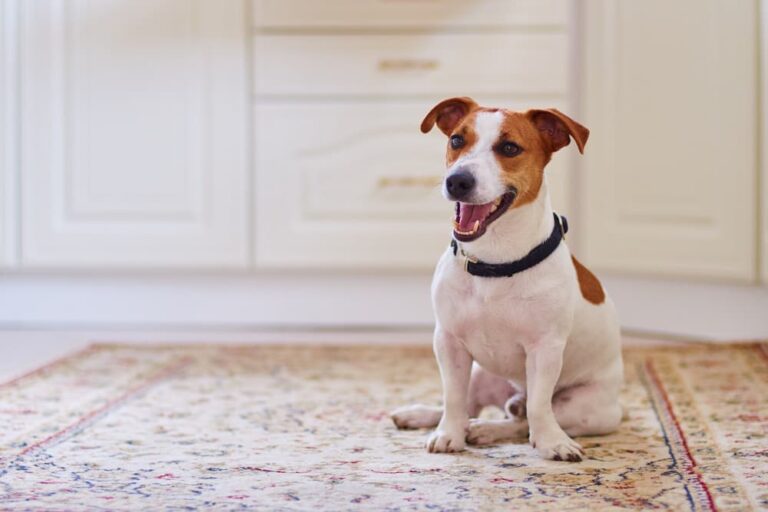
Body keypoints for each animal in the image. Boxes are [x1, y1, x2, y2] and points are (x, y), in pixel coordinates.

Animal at [390, 98, 624, 462]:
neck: (494, 262)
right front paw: (447, 435)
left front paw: (552, 443)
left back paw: (489, 429)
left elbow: (539, 407)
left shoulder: (545, 349)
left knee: (523, 418)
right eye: (457, 140)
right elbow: (453, 398)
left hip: (586, 408)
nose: (457, 181)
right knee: (470, 405)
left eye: (510, 148)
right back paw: (425, 416)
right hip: (479, 373)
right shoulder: (449, 341)